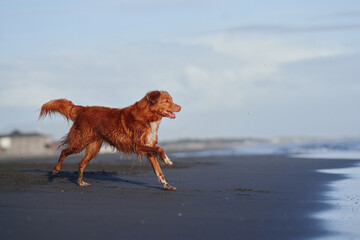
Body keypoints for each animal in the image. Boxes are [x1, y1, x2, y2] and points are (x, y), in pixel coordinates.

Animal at [39, 91, 181, 190]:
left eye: (171, 100)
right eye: (166, 101)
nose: (180, 107)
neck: (148, 116)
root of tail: (83, 109)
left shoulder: (149, 148)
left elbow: (159, 171)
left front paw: (166, 185)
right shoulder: (138, 145)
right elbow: (160, 148)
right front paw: (166, 160)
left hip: (94, 148)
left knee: (81, 163)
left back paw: (80, 182)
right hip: (79, 142)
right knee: (63, 152)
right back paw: (56, 170)